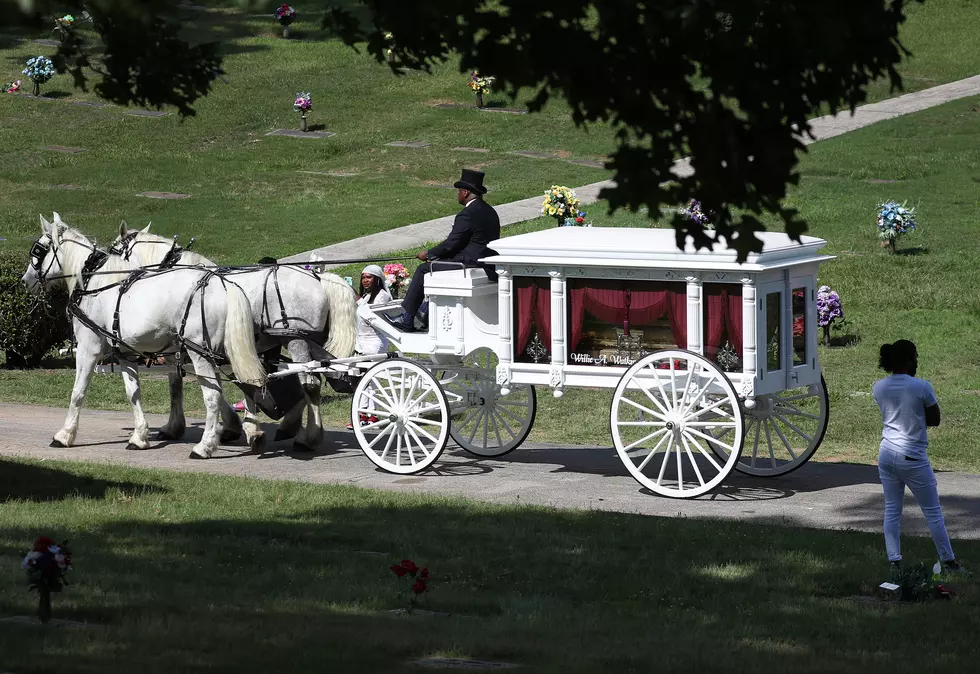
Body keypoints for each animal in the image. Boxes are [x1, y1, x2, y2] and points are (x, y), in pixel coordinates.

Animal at [22, 215, 268, 456]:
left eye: (38, 250)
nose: (25, 280)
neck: (95, 282)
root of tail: (223, 283)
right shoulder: (126, 352)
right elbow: (134, 392)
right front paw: (140, 436)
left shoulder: (87, 348)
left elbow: (78, 392)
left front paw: (65, 434)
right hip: (226, 351)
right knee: (247, 384)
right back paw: (251, 432)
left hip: (200, 353)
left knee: (213, 396)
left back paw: (205, 445)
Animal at [106, 218, 356, 448]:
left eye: (112, 250)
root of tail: (319, 277)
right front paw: (236, 426)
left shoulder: (184, 346)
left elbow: (182, 383)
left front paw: (179, 427)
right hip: (312, 341)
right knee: (317, 375)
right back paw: (292, 425)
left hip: (296, 340)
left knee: (309, 381)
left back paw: (308, 437)